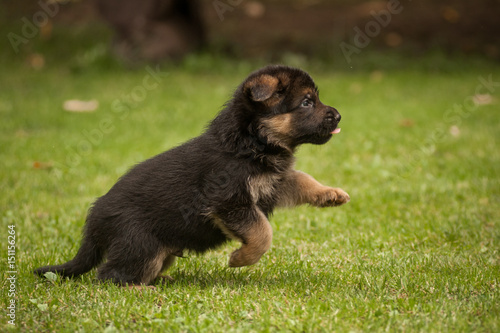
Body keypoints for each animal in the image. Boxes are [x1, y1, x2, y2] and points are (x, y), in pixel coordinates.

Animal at [33, 65, 350, 286]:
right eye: (307, 102)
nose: (339, 116)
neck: (249, 142)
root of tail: (94, 221)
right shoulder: (229, 201)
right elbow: (262, 232)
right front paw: (241, 258)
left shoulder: (274, 182)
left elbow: (304, 179)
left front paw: (330, 193)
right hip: (141, 244)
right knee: (109, 275)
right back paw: (142, 289)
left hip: (158, 249)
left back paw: (159, 280)